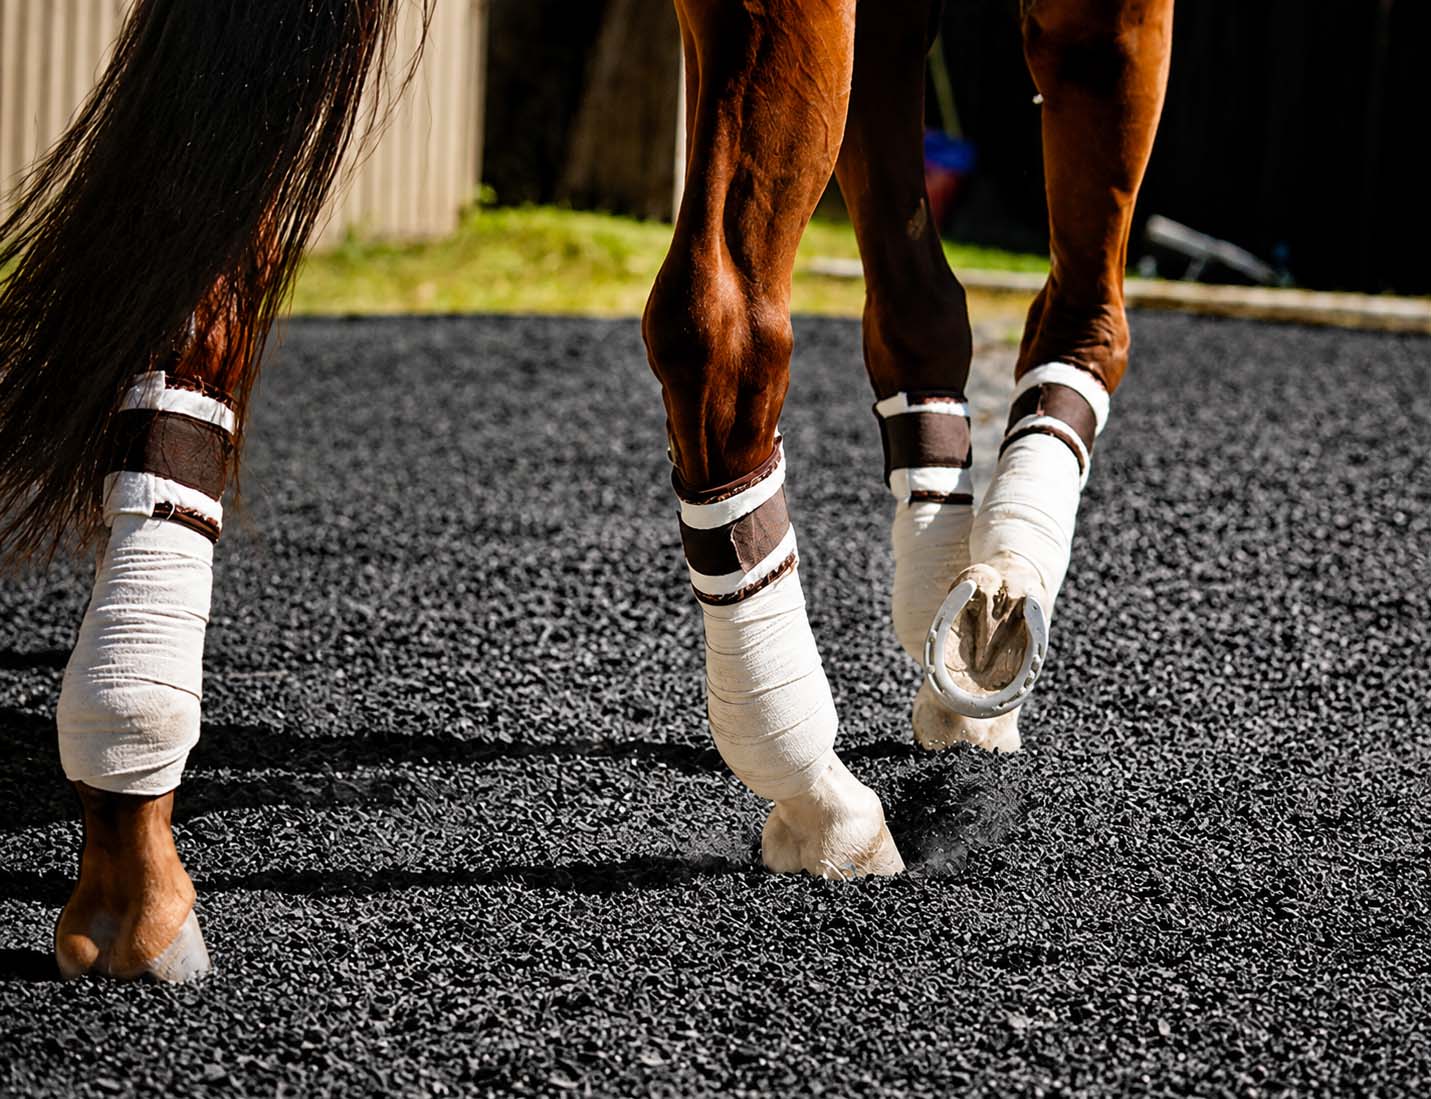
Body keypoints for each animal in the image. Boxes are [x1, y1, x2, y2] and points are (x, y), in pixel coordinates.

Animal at [0, 0, 1173, 981]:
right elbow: (1084, 315)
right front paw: (993, 613)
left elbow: (919, 306)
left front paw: (955, 621)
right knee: (720, 321)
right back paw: (817, 791)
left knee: (192, 282)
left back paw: (128, 827)